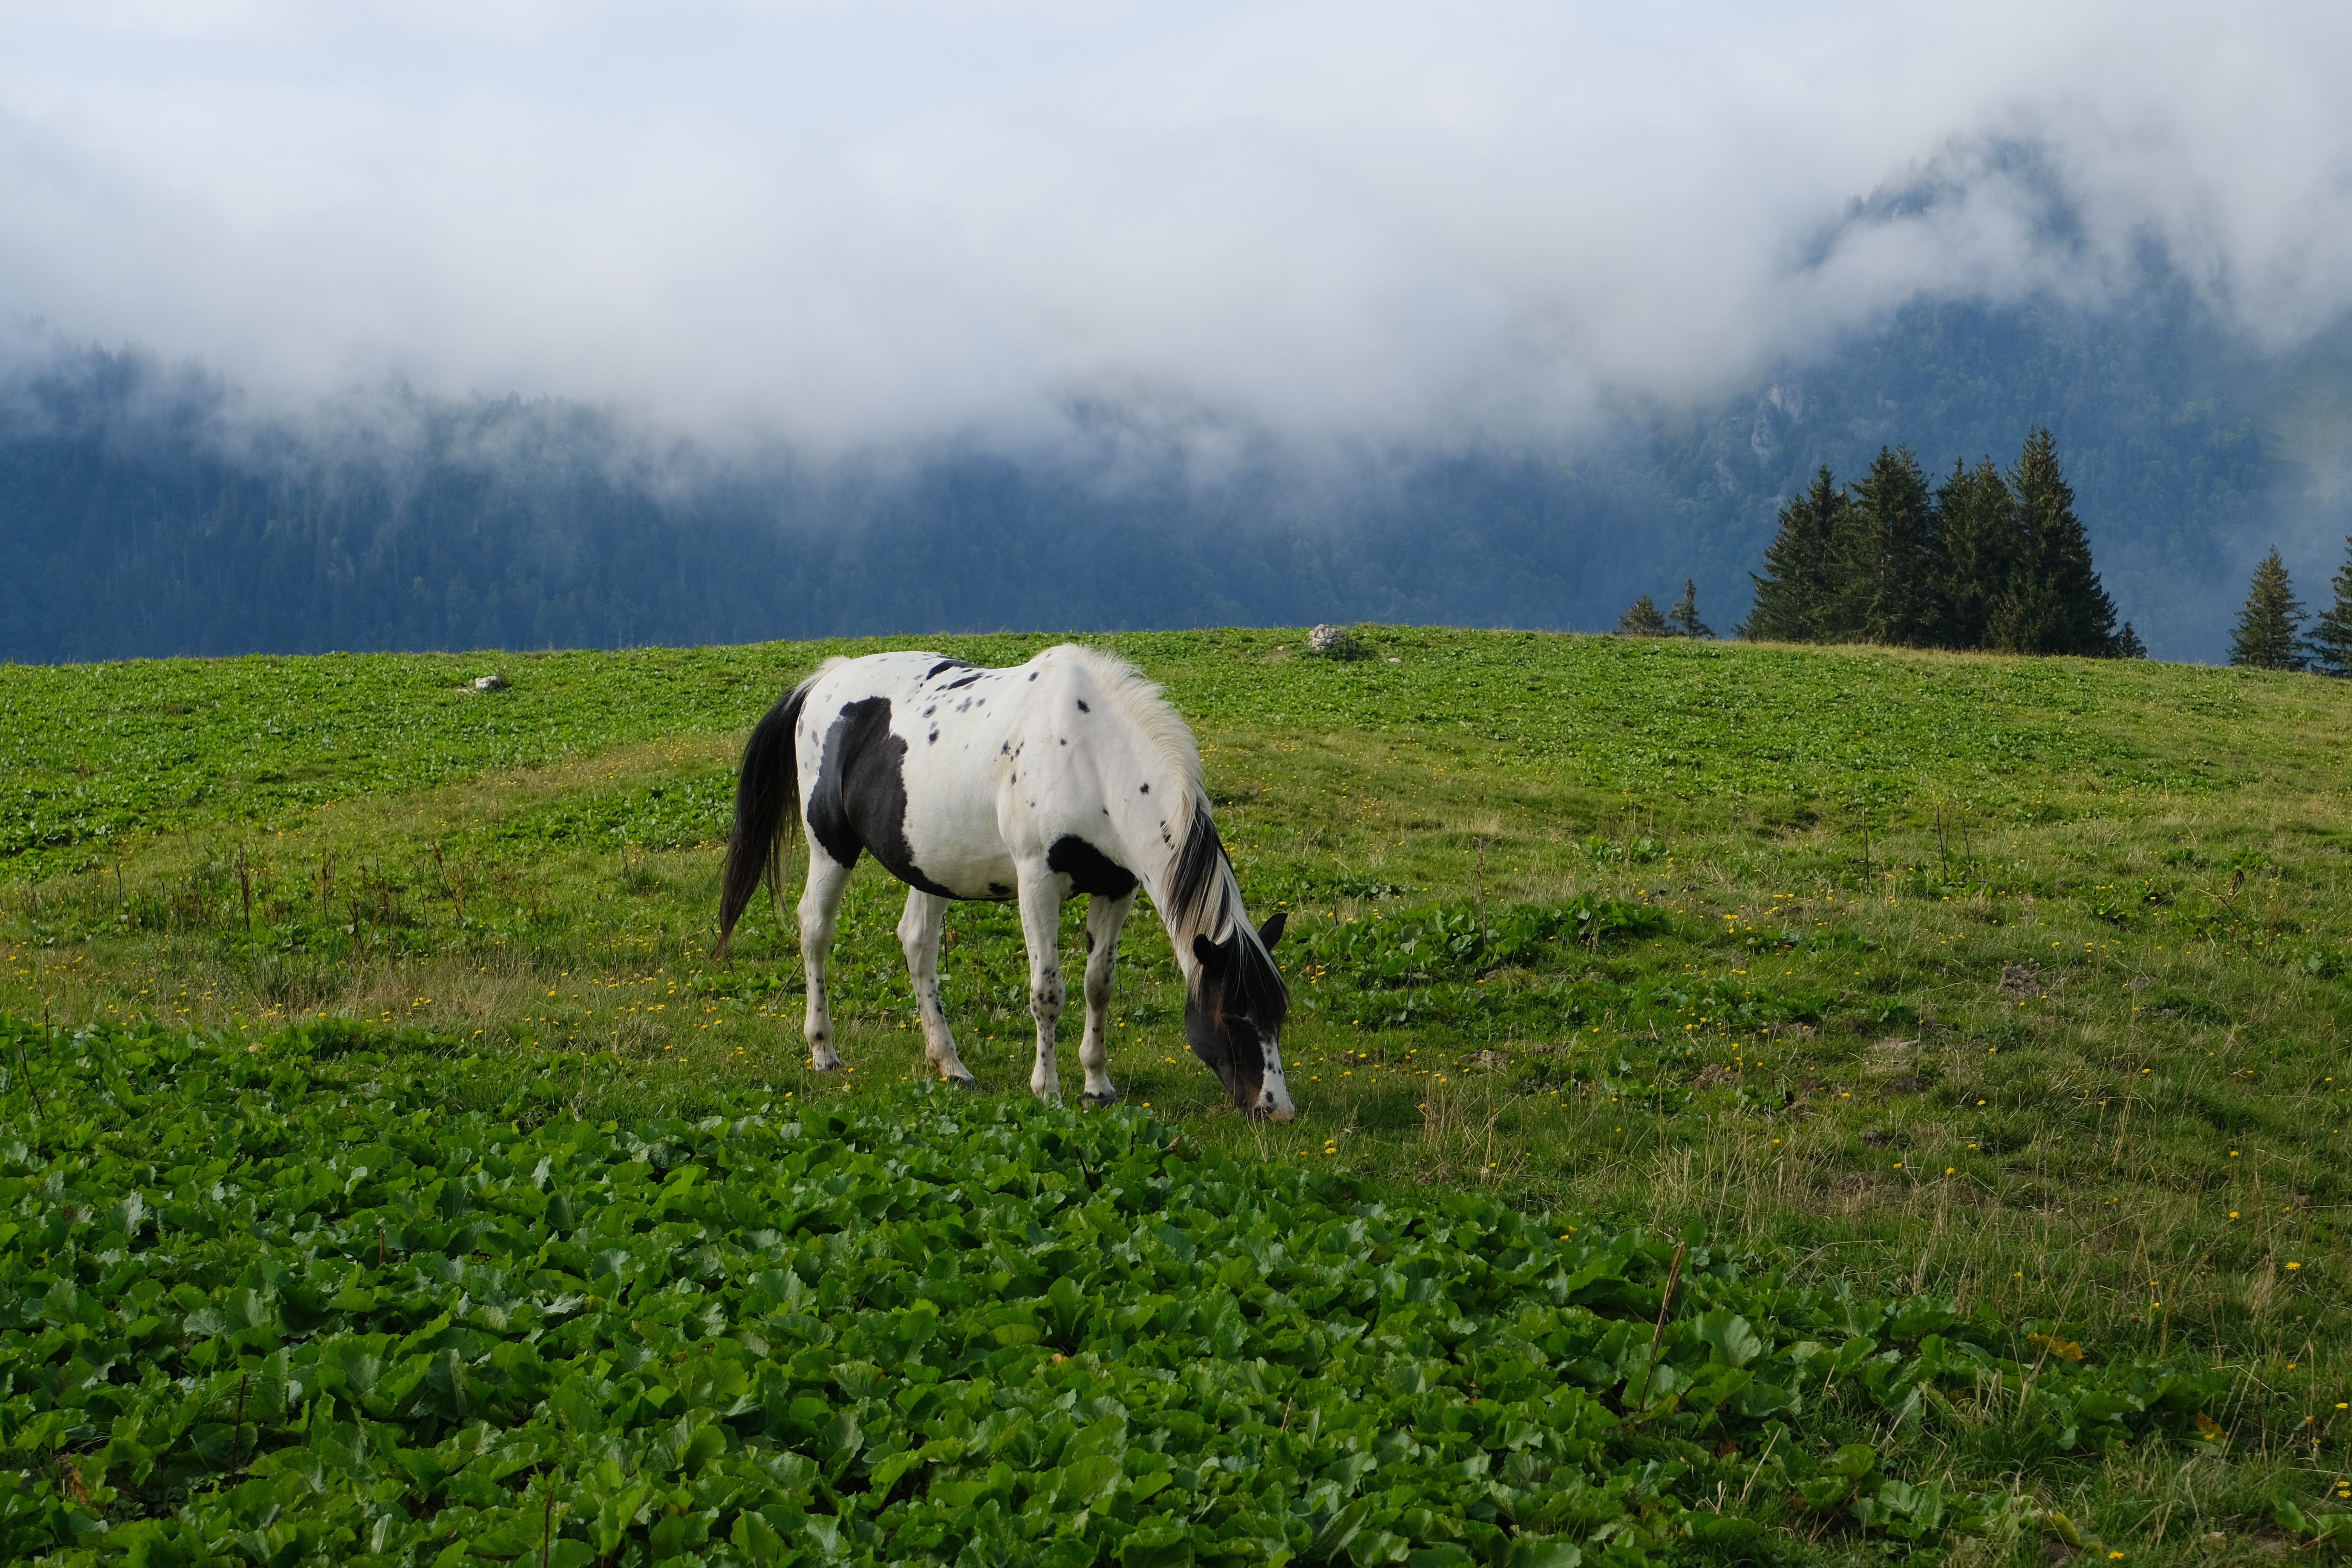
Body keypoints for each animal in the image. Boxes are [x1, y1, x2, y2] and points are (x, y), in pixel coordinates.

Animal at [720, 649, 1298, 1114]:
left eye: (1278, 1016)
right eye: (1231, 1017)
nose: (1277, 1108)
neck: (1091, 756)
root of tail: (829, 678)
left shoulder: (1117, 887)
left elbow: (1099, 986)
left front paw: (1097, 1084)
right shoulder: (1038, 882)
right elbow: (1048, 991)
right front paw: (1048, 1089)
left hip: (929, 866)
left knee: (917, 944)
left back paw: (950, 1064)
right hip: (830, 848)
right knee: (815, 931)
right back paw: (824, 1050)